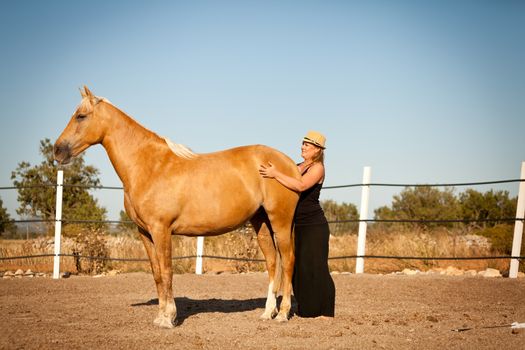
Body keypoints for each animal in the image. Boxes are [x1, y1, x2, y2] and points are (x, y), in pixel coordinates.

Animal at [54, 87, 298, 328]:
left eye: (81, 116)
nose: (57, 150)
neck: (149, 165)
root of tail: (289, 164)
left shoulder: (161, 230)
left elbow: (167, 271)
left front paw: (168, 318)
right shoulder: (145, 232)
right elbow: (157, 274)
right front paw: (160, 316)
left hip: (281, 221)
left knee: (287, 261)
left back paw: (283, 313)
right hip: (261, 222)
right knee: (272, 262)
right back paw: (268, 313)